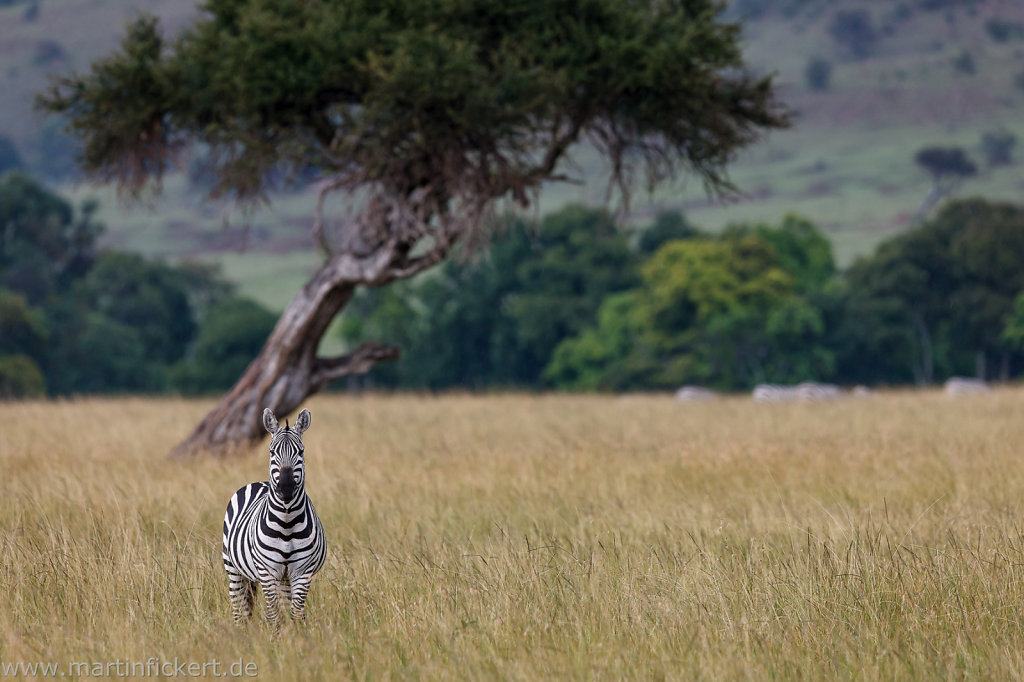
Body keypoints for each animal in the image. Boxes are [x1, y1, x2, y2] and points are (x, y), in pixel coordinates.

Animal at [222, 403, 325, 626]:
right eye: (271, 451)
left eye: (301, 452)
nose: (285, 488)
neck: (286, 523)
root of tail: (259, 482)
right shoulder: (267, 571)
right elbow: (274, 615)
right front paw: (276, 635)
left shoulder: (302, 572)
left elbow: (295, 614)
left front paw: (295, 635)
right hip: (233, 569)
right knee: (239, 609)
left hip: (284, 577)